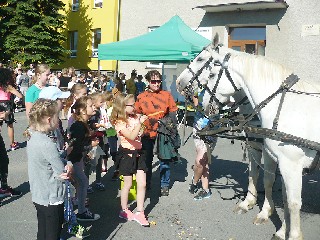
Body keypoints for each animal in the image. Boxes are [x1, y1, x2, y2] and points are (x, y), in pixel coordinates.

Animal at [176, 36, 320, 240]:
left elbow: (289, 198)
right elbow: (261, 178)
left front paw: (275, 221)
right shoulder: (260, 148)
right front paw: (252, 205)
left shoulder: (287, 162)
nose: (179, 83)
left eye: (201, 60)